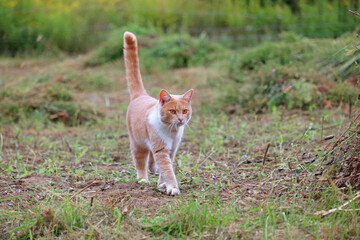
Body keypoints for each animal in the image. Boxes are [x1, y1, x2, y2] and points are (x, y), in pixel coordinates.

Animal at [124, 31, 193, 195]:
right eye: (172, 111)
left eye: (185, 111)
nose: (180, 119)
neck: (172, 131)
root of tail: (141, 95)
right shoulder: (161, 150)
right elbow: (167, 170)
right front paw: (172, 187)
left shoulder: (172, 149)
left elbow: (165, 168)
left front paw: (162, 184)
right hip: (137, 142)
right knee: (140, 161)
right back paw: (143, 178)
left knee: (151, 160)